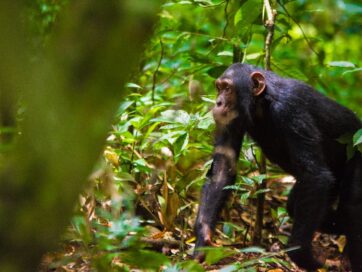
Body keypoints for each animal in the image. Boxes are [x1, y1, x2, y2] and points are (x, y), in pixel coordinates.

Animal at [194, 63, 362, 270]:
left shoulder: (290, 110)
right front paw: (203, 238)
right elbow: (223, 165)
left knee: (352, 205)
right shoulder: (231, 120)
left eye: (227, 89)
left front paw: (301, 254)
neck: (262, 103)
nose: (218, 102)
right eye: (219, 88)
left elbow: (315, 175)